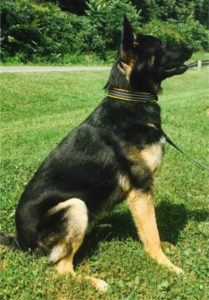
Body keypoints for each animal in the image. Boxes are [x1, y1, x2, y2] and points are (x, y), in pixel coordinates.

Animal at [0, 17, 193, 292]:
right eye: (162, 45)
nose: (191, 46)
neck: (131, 99)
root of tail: (20, 242)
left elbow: (150, 231)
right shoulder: (141, 189)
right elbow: (152, 232)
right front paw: (166, 264)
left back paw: (100, 227)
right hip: (75, 206)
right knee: (61, 267)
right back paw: (94, 282)